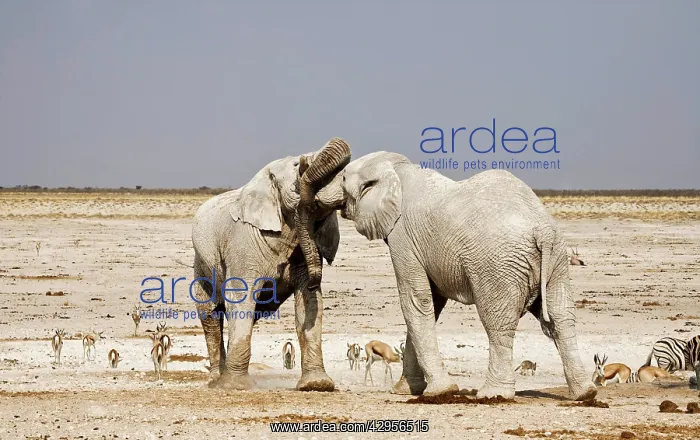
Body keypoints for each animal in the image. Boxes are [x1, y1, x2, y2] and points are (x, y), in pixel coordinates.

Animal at [190, 138, 351, 391]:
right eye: (297, 166)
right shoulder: (242, 244)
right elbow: (241, 298)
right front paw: (236, 386)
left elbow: (309, 303)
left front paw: (317, 385)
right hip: (202, 265)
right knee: (211, 315)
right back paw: (217, 380)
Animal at [333, 151, 597, 401]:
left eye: (343, 177)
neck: (398, 170)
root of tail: (542, 230)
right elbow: (432, 303)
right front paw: (406, 390)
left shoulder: (403, 238)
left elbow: (416, 302)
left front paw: (439, 391)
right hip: (557, 261)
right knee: (561, 318)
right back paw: (585, 393)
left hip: (497, 264)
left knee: (498, 323)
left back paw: (494, 394)